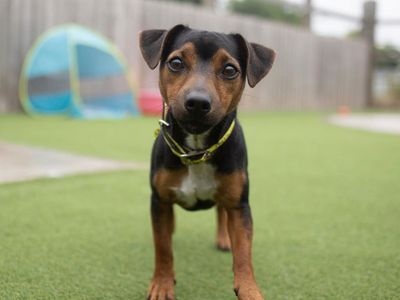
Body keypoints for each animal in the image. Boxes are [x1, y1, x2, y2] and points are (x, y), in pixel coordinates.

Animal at [139, 24, 274, 300]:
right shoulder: (159, 201)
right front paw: (162, 284)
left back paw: (224, 238)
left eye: (230, 70)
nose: (198, 102)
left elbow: (244, 253)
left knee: (221, 211)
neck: (197, 150)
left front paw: (249, 289)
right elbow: (163, 248)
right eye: (176, 62)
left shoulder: (240, 205)